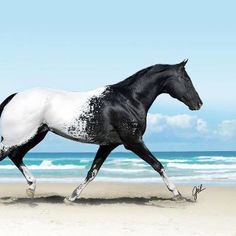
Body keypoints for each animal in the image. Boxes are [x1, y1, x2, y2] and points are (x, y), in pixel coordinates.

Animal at [0, 59, 203, 201]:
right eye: (186, 79)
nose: (199, 104)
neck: (129, 100)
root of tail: (13, 97)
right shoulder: (133, 142)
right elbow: (158, 165)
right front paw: (177, 194)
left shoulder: (108, 144)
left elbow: (92, 171)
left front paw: (71, 197)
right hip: (18, 137)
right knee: (11, 155)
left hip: (36, 135)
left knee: (17, 156)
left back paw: (31, 187)